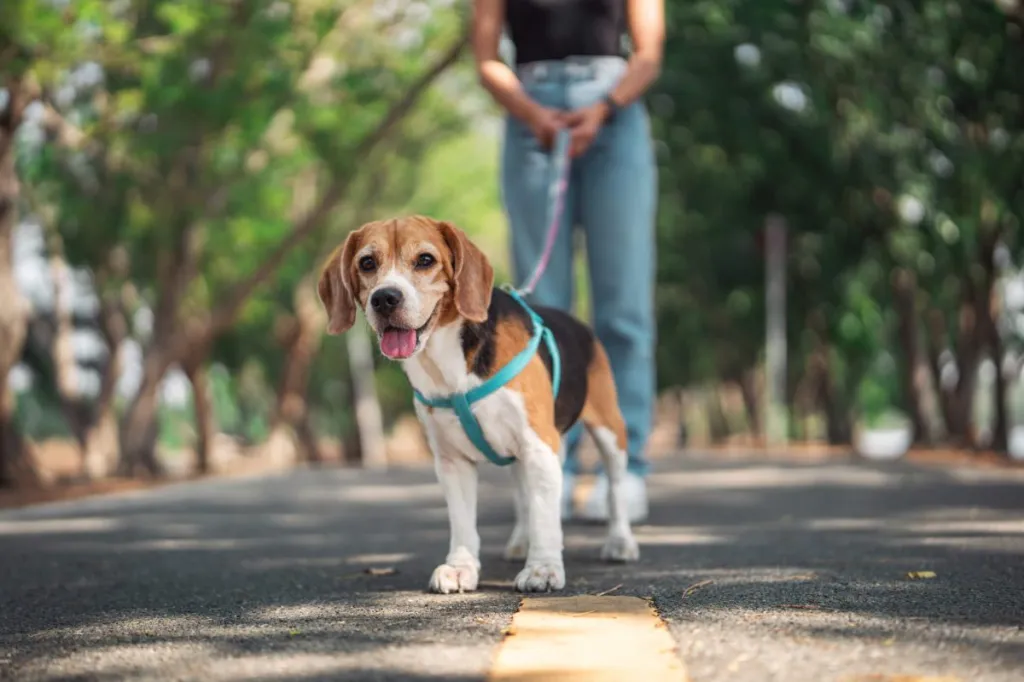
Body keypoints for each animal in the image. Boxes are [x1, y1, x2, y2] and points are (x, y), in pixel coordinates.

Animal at [317, 215, 638, 593]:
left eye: (425, 260)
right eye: (367, 263)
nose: (385, 298)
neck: (446, 362)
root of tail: (577, 322)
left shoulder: (538, 445)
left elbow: (546, 516)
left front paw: (543, 568)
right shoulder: (452, 461)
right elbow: (464, 523)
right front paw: (461, 567)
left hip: (608, 432)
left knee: (615, 488)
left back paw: (620, 542)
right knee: (525, 495)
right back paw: (521, 541)